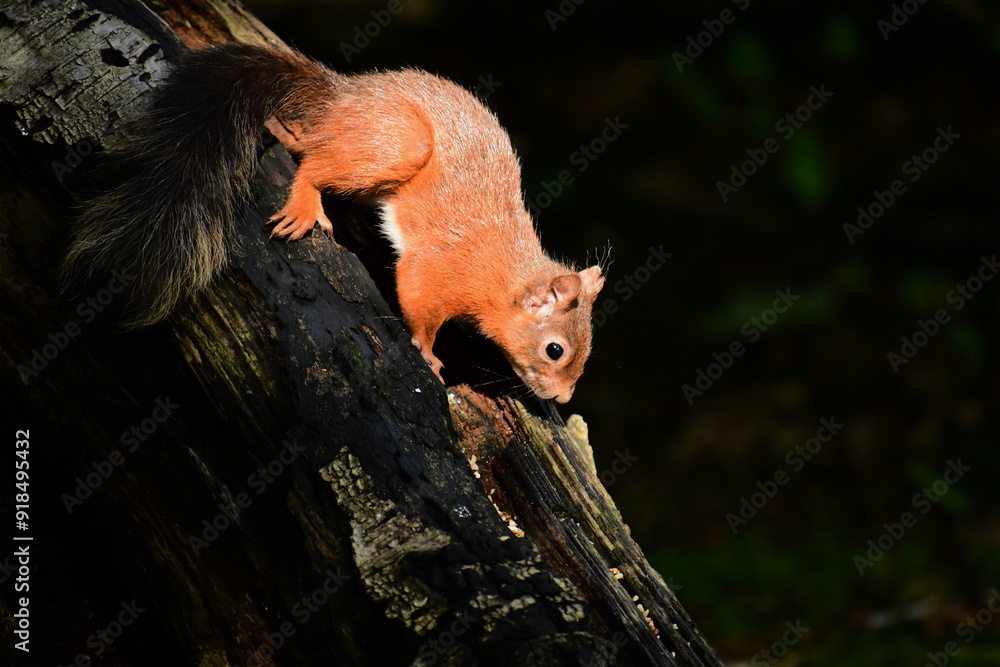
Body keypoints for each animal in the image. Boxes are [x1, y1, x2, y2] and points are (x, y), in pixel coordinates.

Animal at [64, 43, 605, 403]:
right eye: (555, 350)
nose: (562, 400)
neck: (504, 275)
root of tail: (341, 96)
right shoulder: (443, 269)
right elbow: (418, 301)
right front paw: (429, 355)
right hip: (397, 145)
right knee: (312, 163)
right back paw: (306, 197)